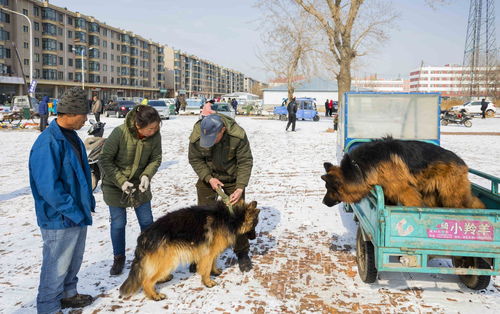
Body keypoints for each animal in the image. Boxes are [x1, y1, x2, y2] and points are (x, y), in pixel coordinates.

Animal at [119, 200, 260, 300]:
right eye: (254, 225)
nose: (255, 237)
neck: (231, 216)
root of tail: (144, 236)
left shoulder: (211, 251)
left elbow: (213, 262)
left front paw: (215, 271)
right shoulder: (208, 253)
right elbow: (206, 268)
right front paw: (207, 282)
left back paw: (162, 280)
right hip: (169, 261)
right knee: (146, 281)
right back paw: (155, 295)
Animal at [320, 137, 484, 209]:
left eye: (329, 190)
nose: (323, 202)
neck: (357, 168)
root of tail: (463, 162)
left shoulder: (404, 191)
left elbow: (411, 203)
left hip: (451, 195)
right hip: (433, 193)